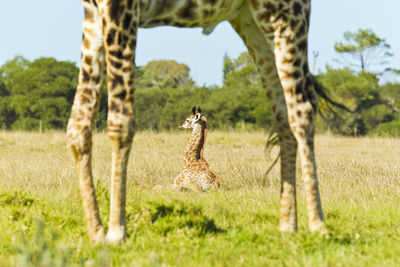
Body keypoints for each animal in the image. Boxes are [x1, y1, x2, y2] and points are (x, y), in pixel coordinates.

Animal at [66, 0, 324, 245]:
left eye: (188, 119)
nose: (180, 126)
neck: (193, 160)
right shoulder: (94, 14)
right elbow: (78, 125)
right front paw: (98, 233)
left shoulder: (120, 11)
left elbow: (121, 125)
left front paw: (116, 232)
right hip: (253, 22)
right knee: (285, 112)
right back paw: (288, 225)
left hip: (288, 18)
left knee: (302, 110)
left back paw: (317, 225)